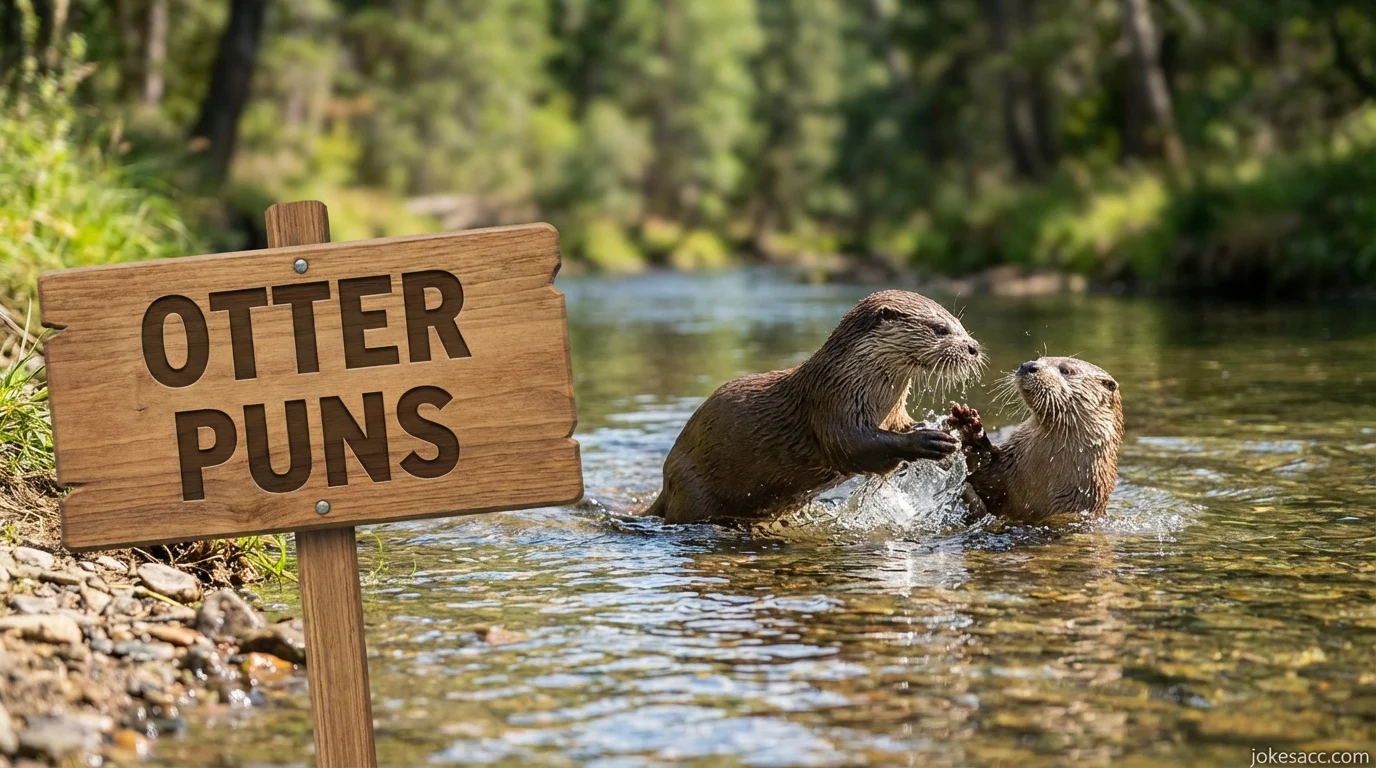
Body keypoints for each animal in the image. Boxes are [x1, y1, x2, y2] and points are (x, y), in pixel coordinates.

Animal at [646, 290, 985, 524]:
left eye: (960, 325)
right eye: (939, 329)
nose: (973, 347)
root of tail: (667, 479)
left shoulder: (892, 414)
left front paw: (962, 424)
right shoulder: (831, 405)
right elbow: (853, 447)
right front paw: (926, 440)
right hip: (692, 487)